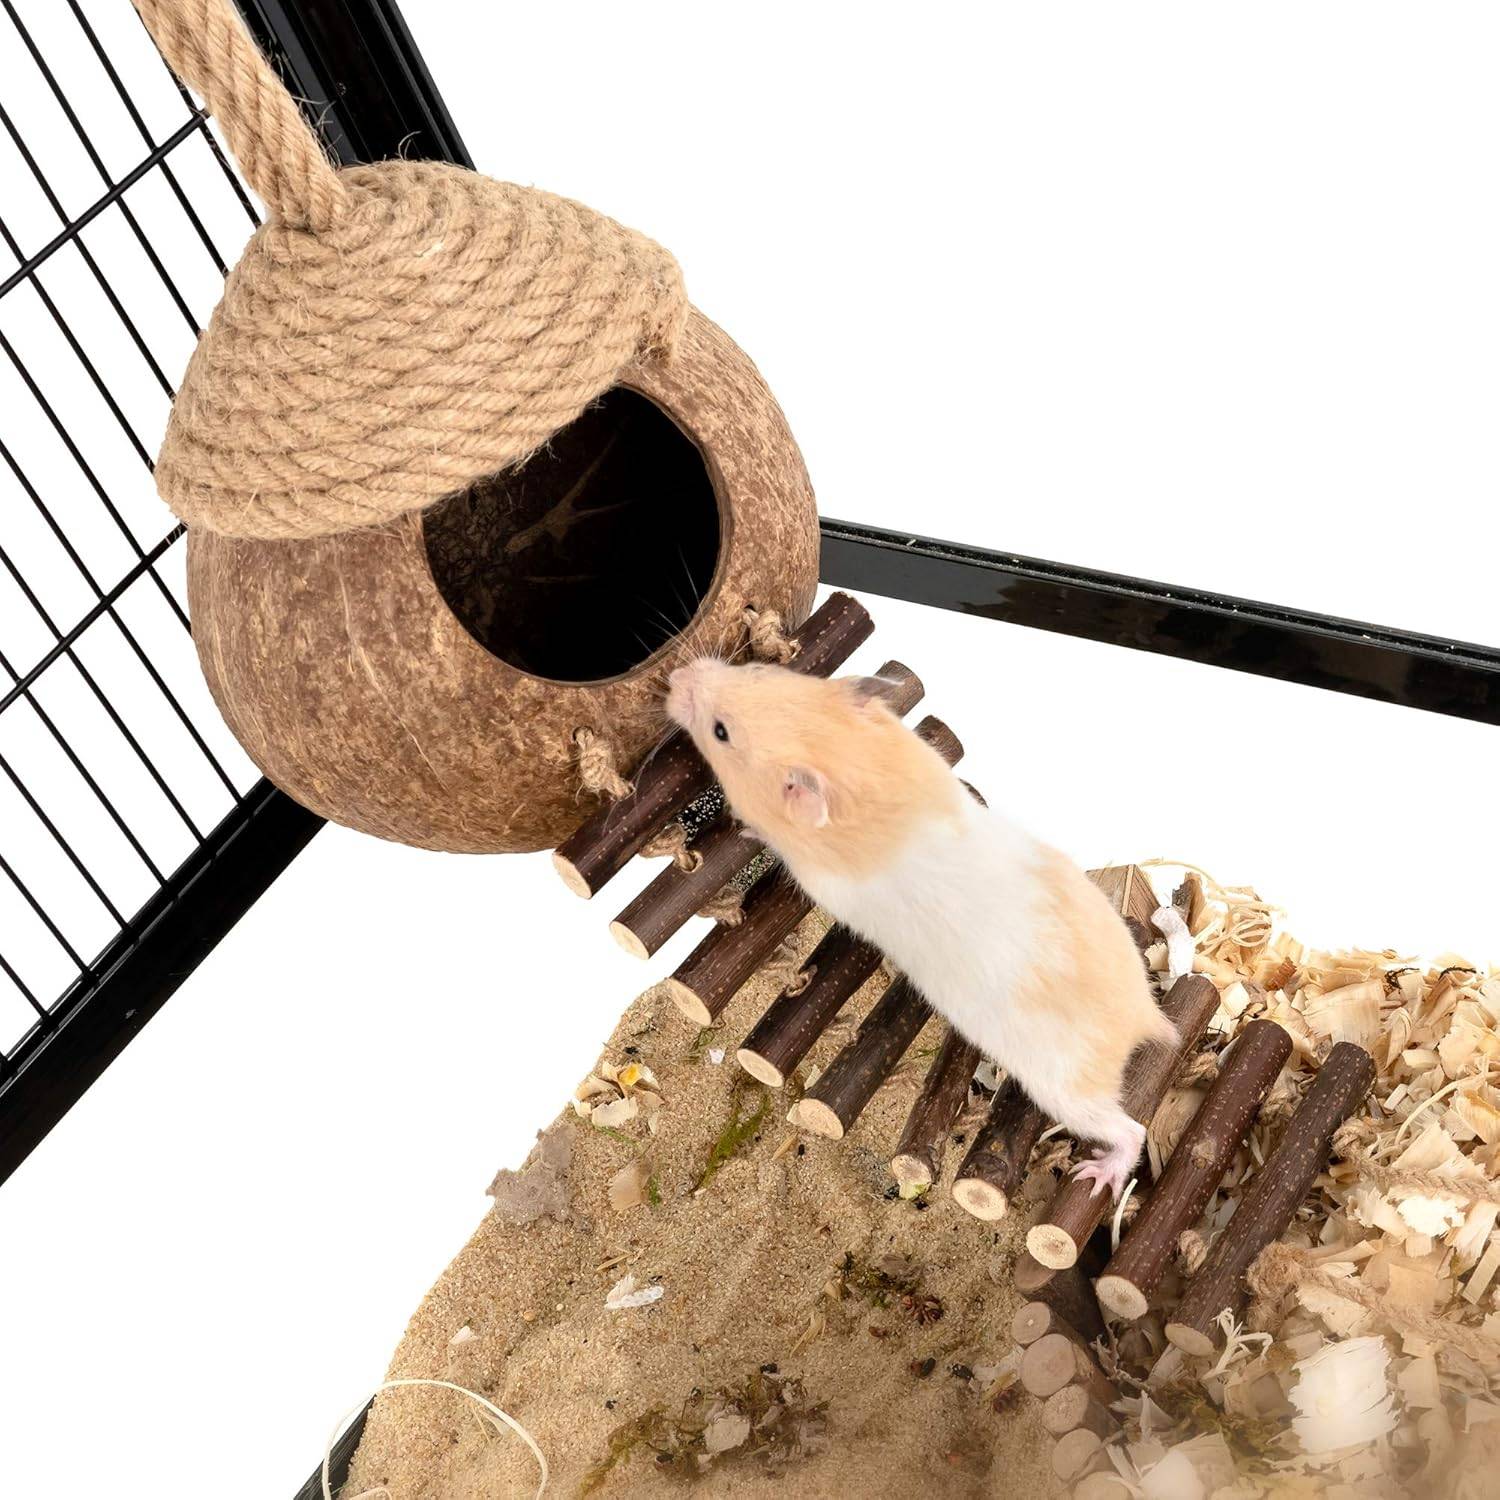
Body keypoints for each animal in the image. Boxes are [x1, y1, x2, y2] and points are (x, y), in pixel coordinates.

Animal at [666, 656, 1175, 1200]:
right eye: (760, 670)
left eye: (720, 732)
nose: (676, 677)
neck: (863, 771)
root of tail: (1145, 1017)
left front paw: (745, 825)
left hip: (1064, 1092)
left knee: (1130, 1130)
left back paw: (1098, 1174)